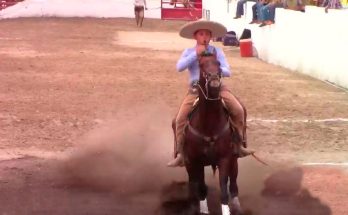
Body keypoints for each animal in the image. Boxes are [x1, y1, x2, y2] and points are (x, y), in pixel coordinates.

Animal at [178, 52, 243, 215]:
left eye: (218, 63)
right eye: (201, 64)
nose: (214, 78)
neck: (209, 125)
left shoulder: (225, 159)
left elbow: (224, 190)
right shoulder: (196, 161)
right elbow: (201, 188)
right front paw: (202, 209)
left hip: (234, 159)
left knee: (233, 181)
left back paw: (236, 204)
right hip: (189, 163)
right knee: (193, 182)